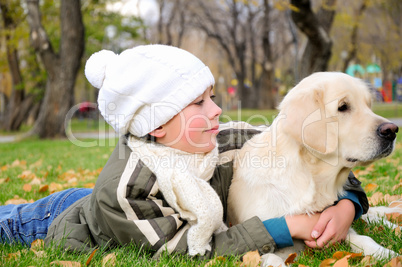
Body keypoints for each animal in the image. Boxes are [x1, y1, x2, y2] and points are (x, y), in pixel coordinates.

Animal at [228, 72, 400, 266]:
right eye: (343, 107)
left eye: (368, 105)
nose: (392, 130)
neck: (313, 178)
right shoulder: (252, 249)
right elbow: (271, 257)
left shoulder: (334, 224)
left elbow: (362, 237)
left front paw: (385, 253)